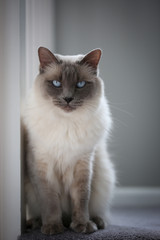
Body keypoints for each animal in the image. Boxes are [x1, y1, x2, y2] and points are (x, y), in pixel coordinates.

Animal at [21, 46, 115, 234]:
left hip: (103, 176)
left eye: (80, 85)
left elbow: (81, 199)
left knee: (96, 210)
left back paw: (97, 222)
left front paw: (82, 226)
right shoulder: (43, 167)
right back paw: (36, 223)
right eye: (56, 83)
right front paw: (53, 227)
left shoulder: (83, 165)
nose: (68, 98)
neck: (66, 125)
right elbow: (50, 202)